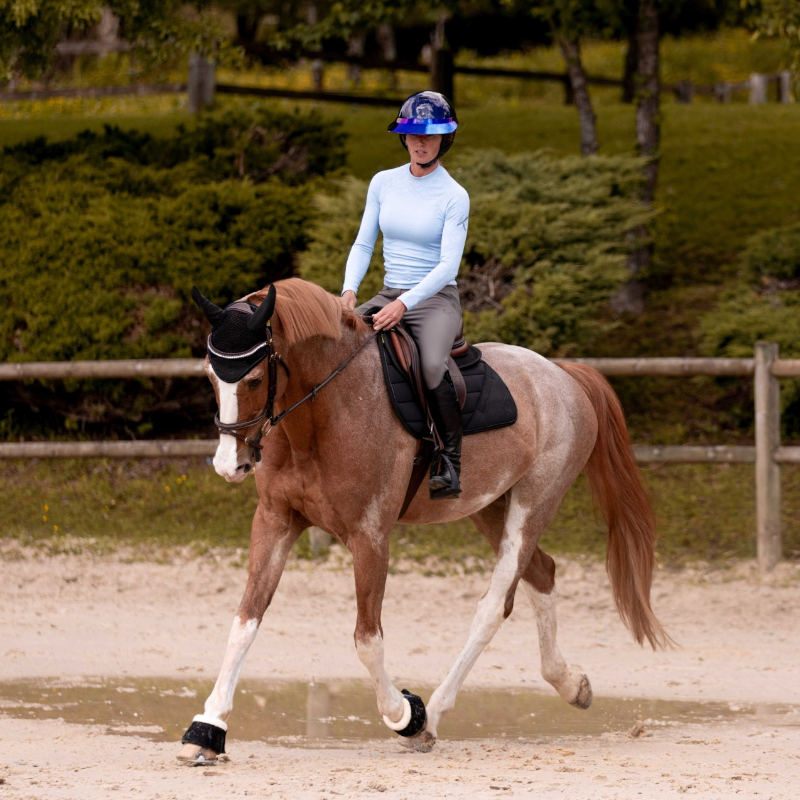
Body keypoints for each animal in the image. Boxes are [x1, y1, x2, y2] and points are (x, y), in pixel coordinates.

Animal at [177, 277, 669, 762]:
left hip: (535, 502)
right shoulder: (275, 521)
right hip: (490, 506)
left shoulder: (370, 535)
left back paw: (432, 717)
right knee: (541, 574)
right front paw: (207, 728)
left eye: (256, 378)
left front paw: (405, 716)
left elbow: (367, 640)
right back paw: (570, 685)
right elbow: (245, 621)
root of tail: (562, 374)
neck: (323, 413)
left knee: (493, 606)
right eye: (210, 375)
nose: (230, 464)